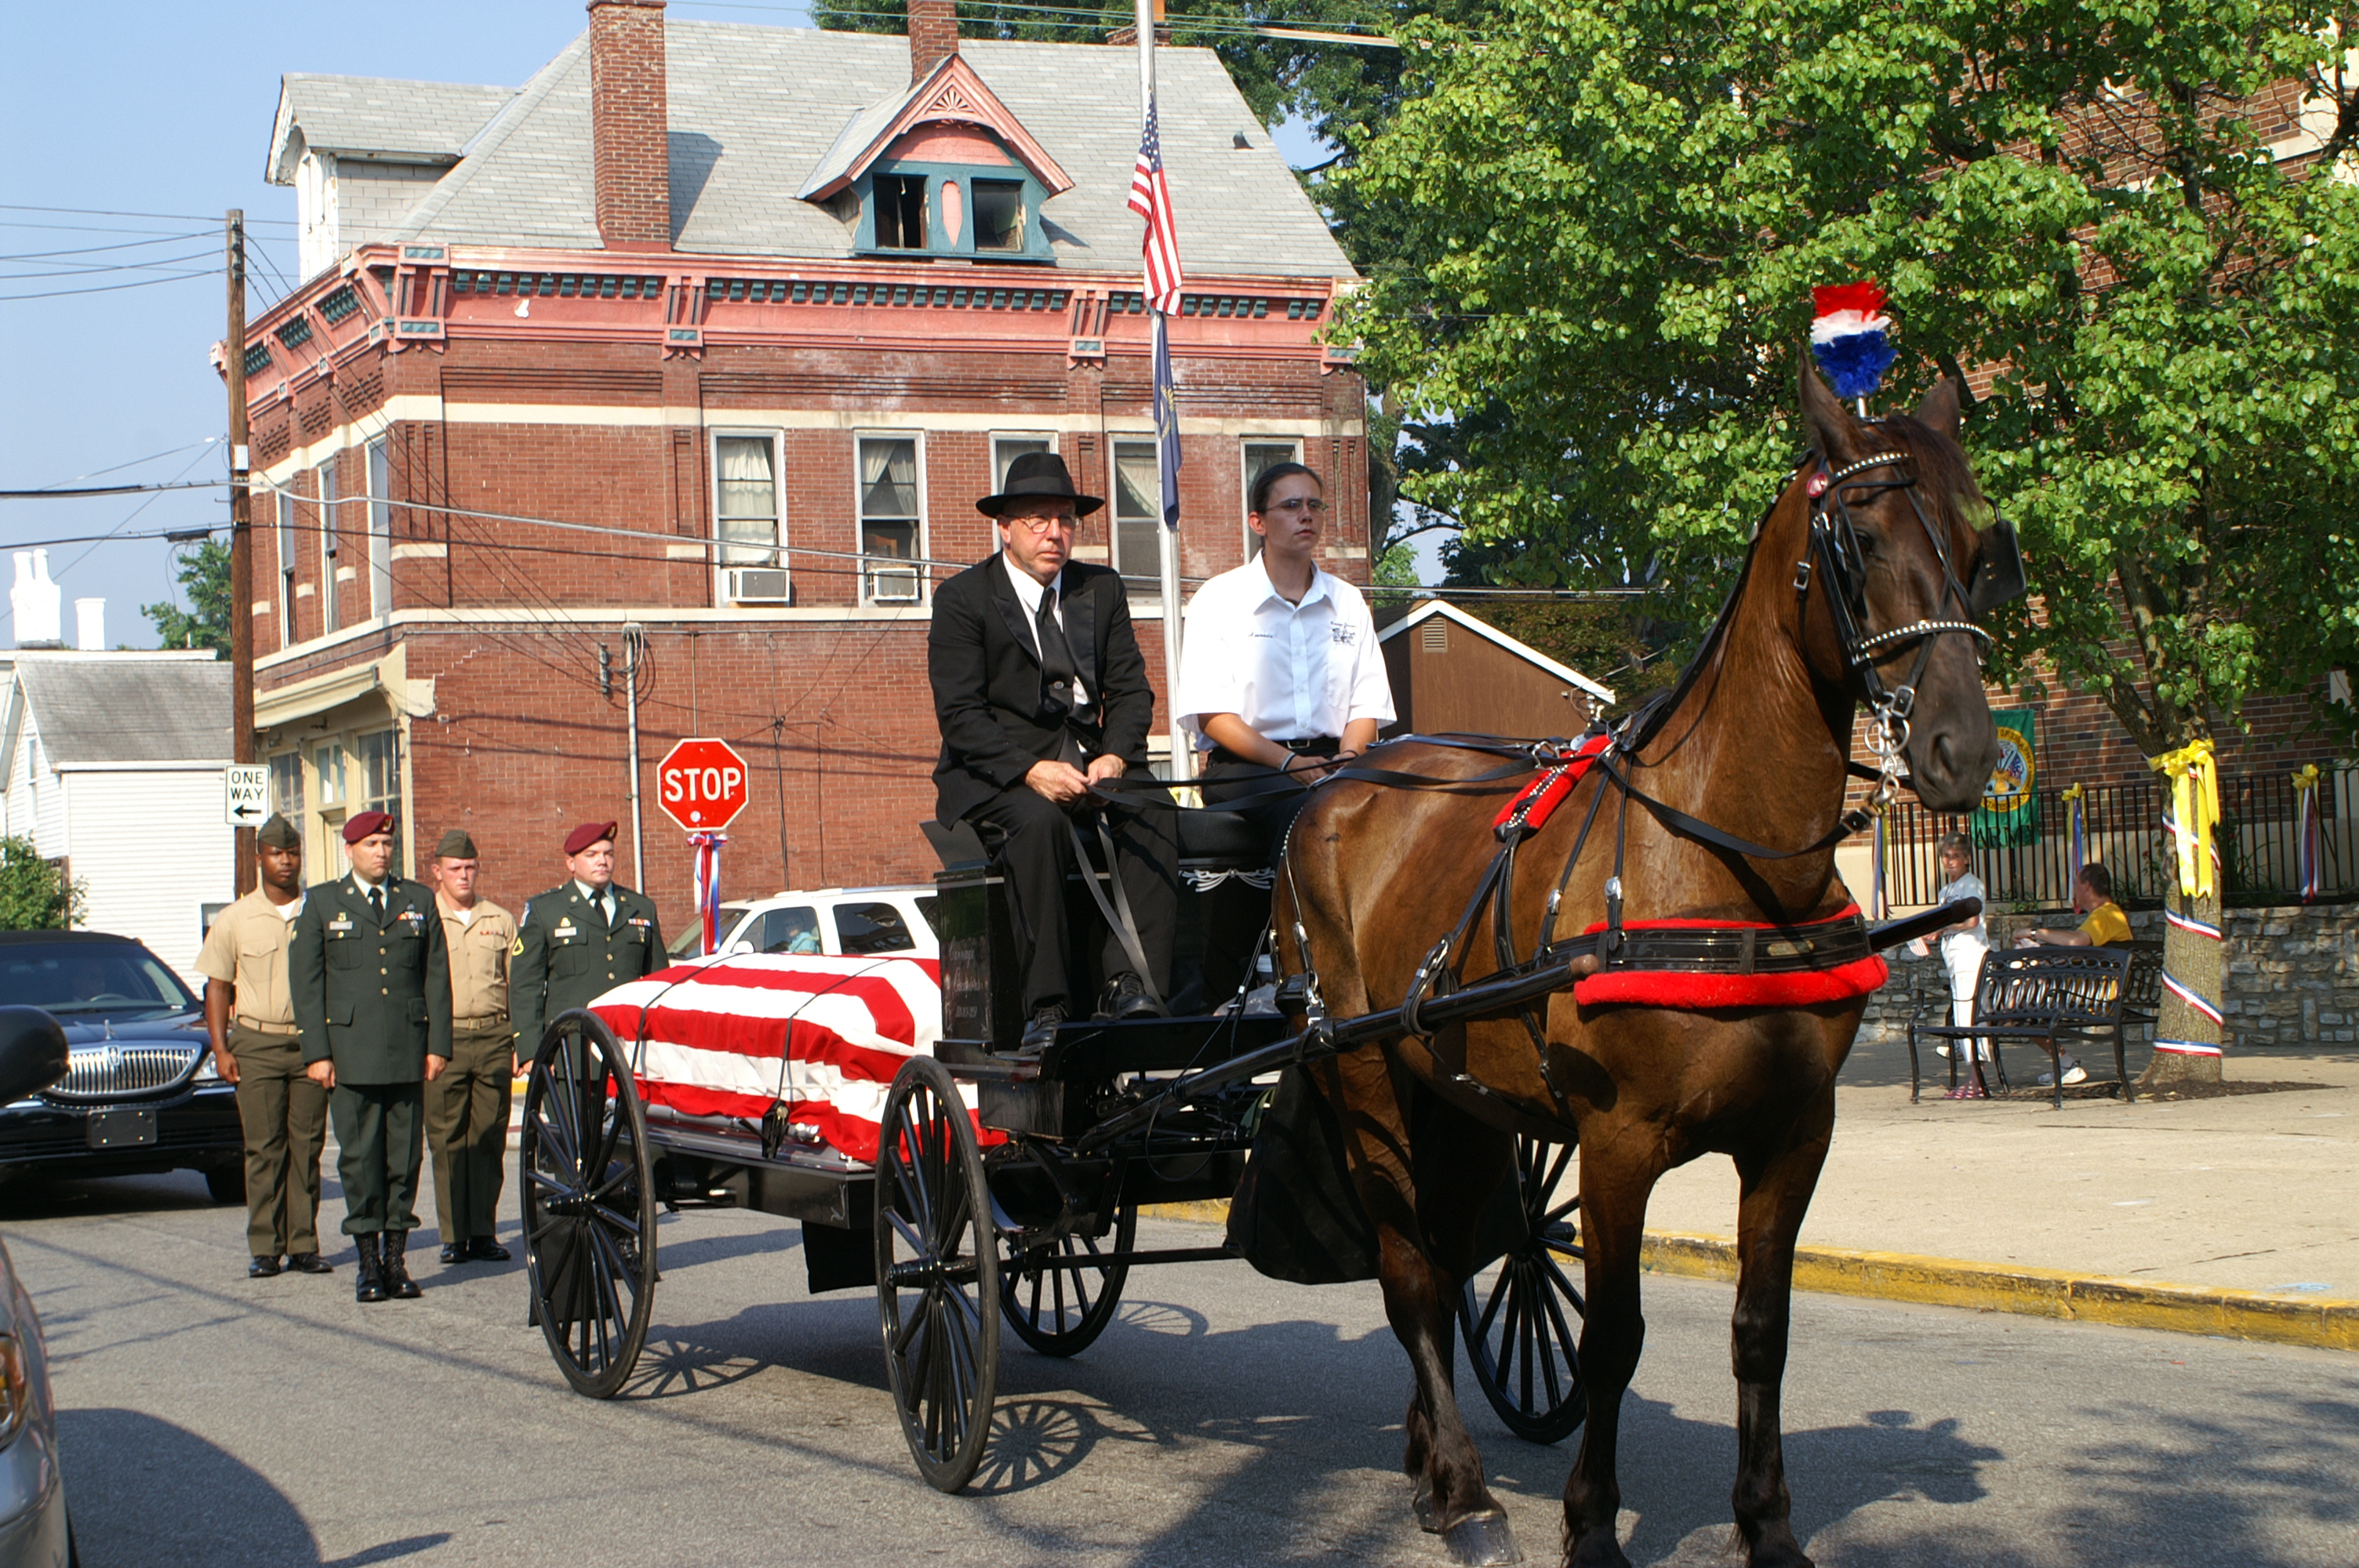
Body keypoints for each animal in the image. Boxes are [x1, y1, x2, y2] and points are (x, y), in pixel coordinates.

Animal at [1283, 363, 2000, 1565]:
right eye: (1856, 538)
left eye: (1976, 542)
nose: (1966, 748)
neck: (1725, 862)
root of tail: (1334, 789)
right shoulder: (1619, 1142)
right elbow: (1614, 1336)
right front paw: (1592, 1525)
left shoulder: (1794, 1136)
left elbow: (1762, 1331)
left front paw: (1766, 1524)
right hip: (1364, 1074)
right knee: (1410, 1273)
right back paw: (1465, 1489)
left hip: (1453, 1094)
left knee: (1450, 1253)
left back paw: (1430, 1459)